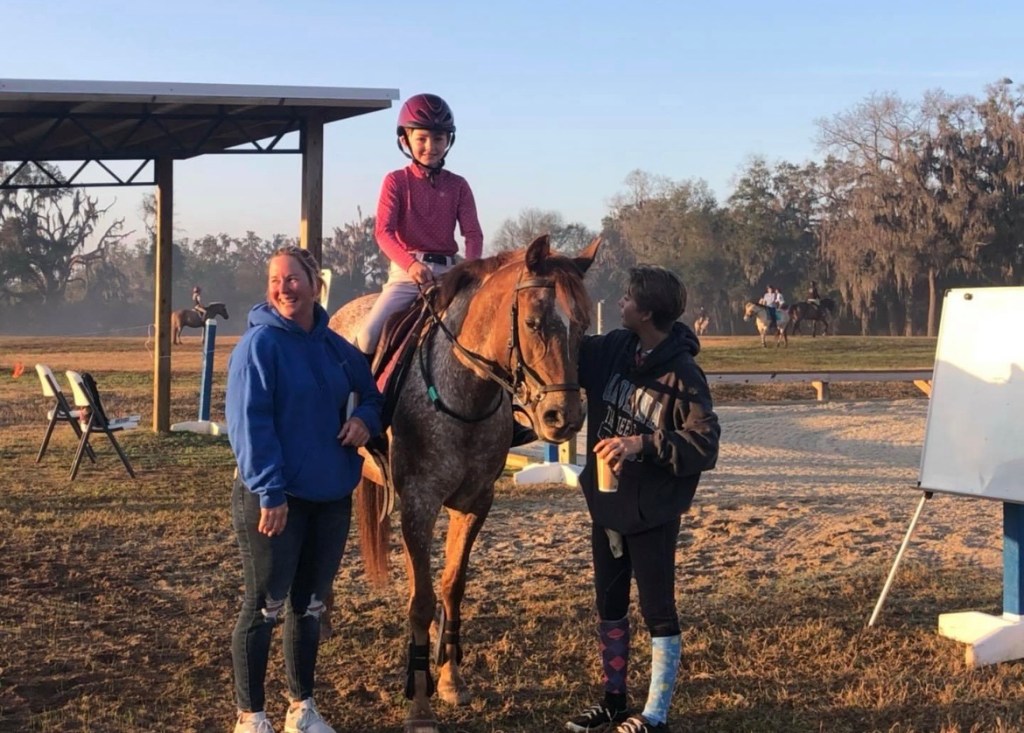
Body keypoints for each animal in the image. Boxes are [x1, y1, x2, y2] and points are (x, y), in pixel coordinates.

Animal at [329, 234, 598, 732]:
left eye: (584, 327)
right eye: (533, 322)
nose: (564, 417)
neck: (465, 390)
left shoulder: (475, 502)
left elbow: (452, 586)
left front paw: (451, 679)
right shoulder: (419, 504)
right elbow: (420, 599)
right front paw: (419, 705)